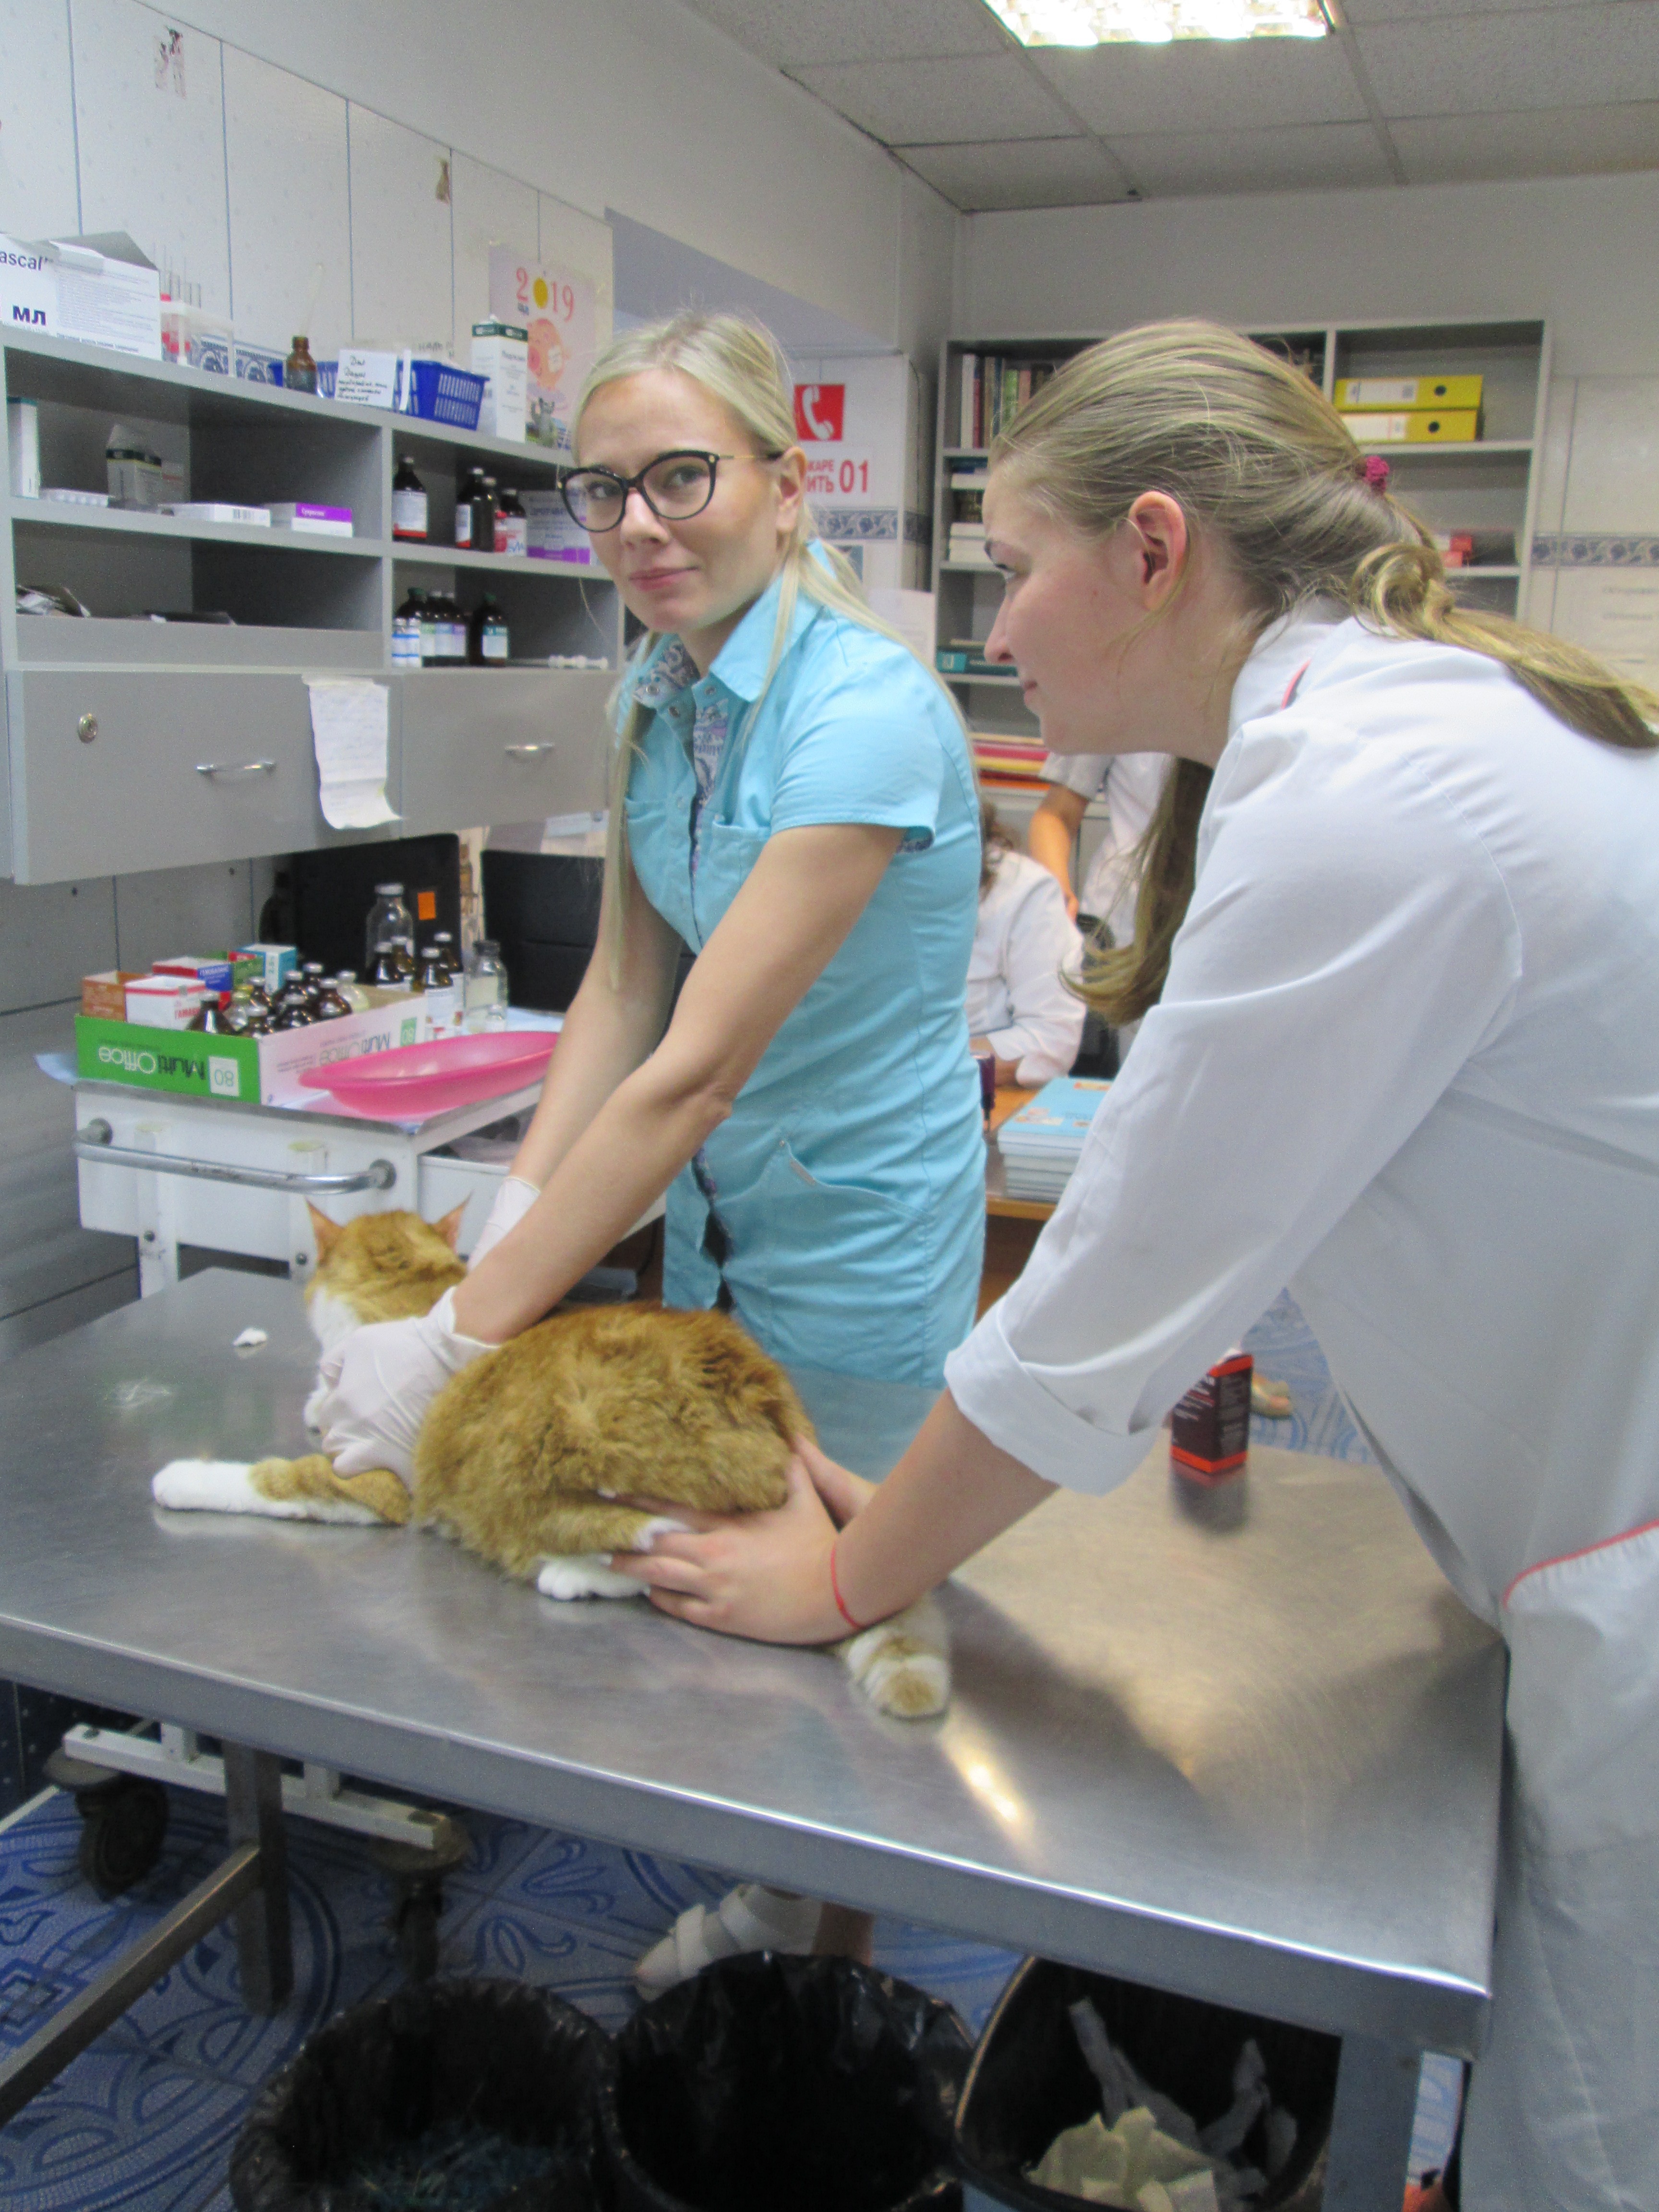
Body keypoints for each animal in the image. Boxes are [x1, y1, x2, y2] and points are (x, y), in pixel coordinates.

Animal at [152, 1204, 949, 1721]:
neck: (411, 1296)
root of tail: (759, 1389)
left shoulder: (375, 1482)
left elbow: (269, 1477)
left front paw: (182, 1475)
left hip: (585, 1448)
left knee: (657, 1547)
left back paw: (569, 1570)